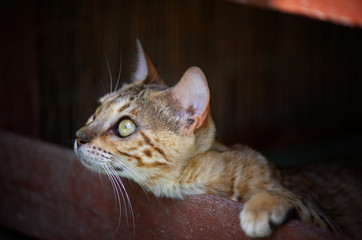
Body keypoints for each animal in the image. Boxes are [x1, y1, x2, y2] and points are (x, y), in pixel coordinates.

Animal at [74, 39, 362, 238]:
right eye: (96, 111)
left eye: (125, 126)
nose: (78, 137)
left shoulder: (327, 221)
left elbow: (291, 199)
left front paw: (263, 205)